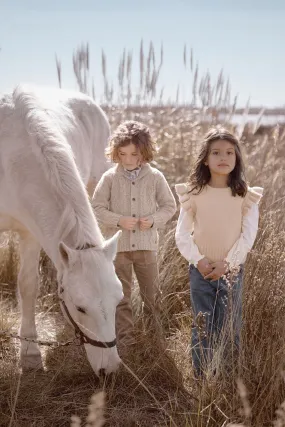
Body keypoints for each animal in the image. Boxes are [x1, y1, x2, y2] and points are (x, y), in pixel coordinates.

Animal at [0, 85, 122, 376]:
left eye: (118, 301)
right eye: (80, 308)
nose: (110, 370)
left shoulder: (31, 232)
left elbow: (28, 284)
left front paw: (31, 353)